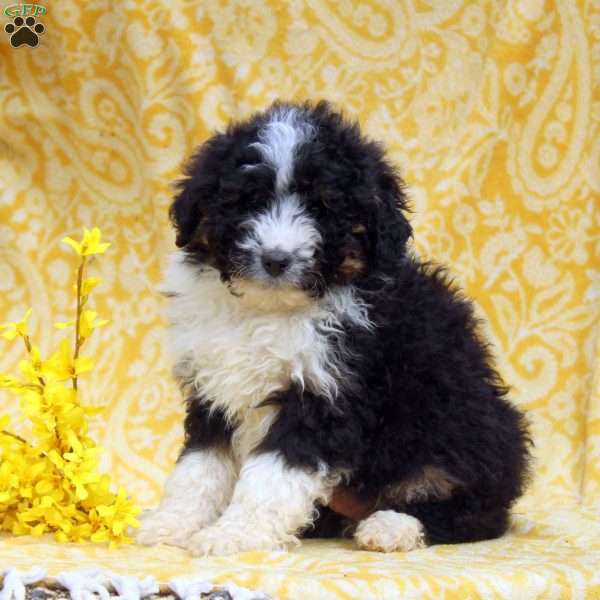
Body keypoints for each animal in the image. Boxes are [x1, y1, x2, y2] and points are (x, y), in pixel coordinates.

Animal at [136, 101, 528, 556]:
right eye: (249, 201)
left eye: (323, 207)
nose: (276, 259)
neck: (268, 310)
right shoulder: (212, 390)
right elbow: (198, 468)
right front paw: (172, 523)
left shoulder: (327, 395)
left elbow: (270, 478)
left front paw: (235, 534)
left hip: (463, 433)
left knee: (471, 513)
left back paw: (391, 527)